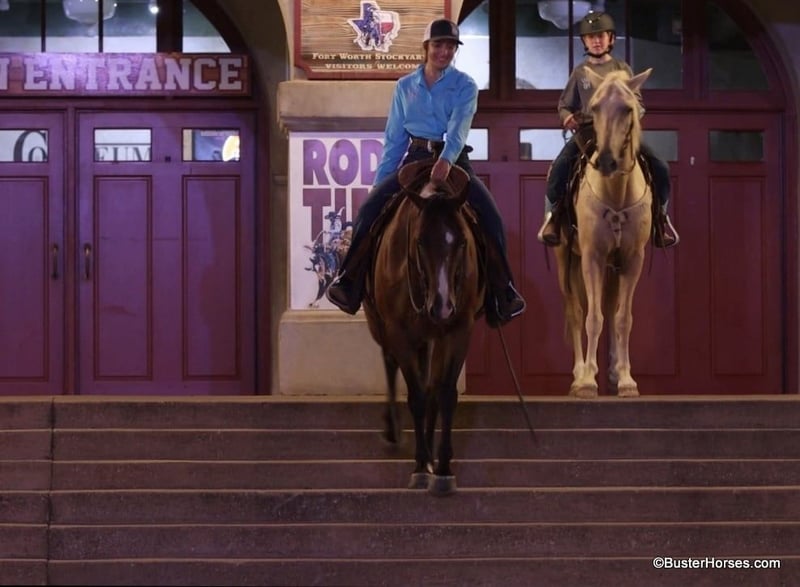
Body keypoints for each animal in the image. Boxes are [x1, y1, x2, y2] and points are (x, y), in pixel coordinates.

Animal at [362, 160, 484, 496]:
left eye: (461, 241)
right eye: (419, 241)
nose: (441, 306)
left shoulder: (458, 331)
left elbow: (442, 393)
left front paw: (441, 468)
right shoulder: (399, 333)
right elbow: (416, 395)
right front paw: (419, 466)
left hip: (431, 338)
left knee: (431, 385)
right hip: (382, 326)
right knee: (390, 363)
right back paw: (392, 429)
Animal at [554, 68, 654, 398]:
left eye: (628, 108)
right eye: (595, 107)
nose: (607, 161)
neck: (616, 193)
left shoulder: (632, 260)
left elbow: (622, 319)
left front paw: (625, 379)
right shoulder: (592, 258)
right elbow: (592, 318)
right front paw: (586, 381)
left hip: (613, 267)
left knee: (610, 311)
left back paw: (609, 371)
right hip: (566, 261)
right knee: (575, 312)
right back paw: (579, 373)